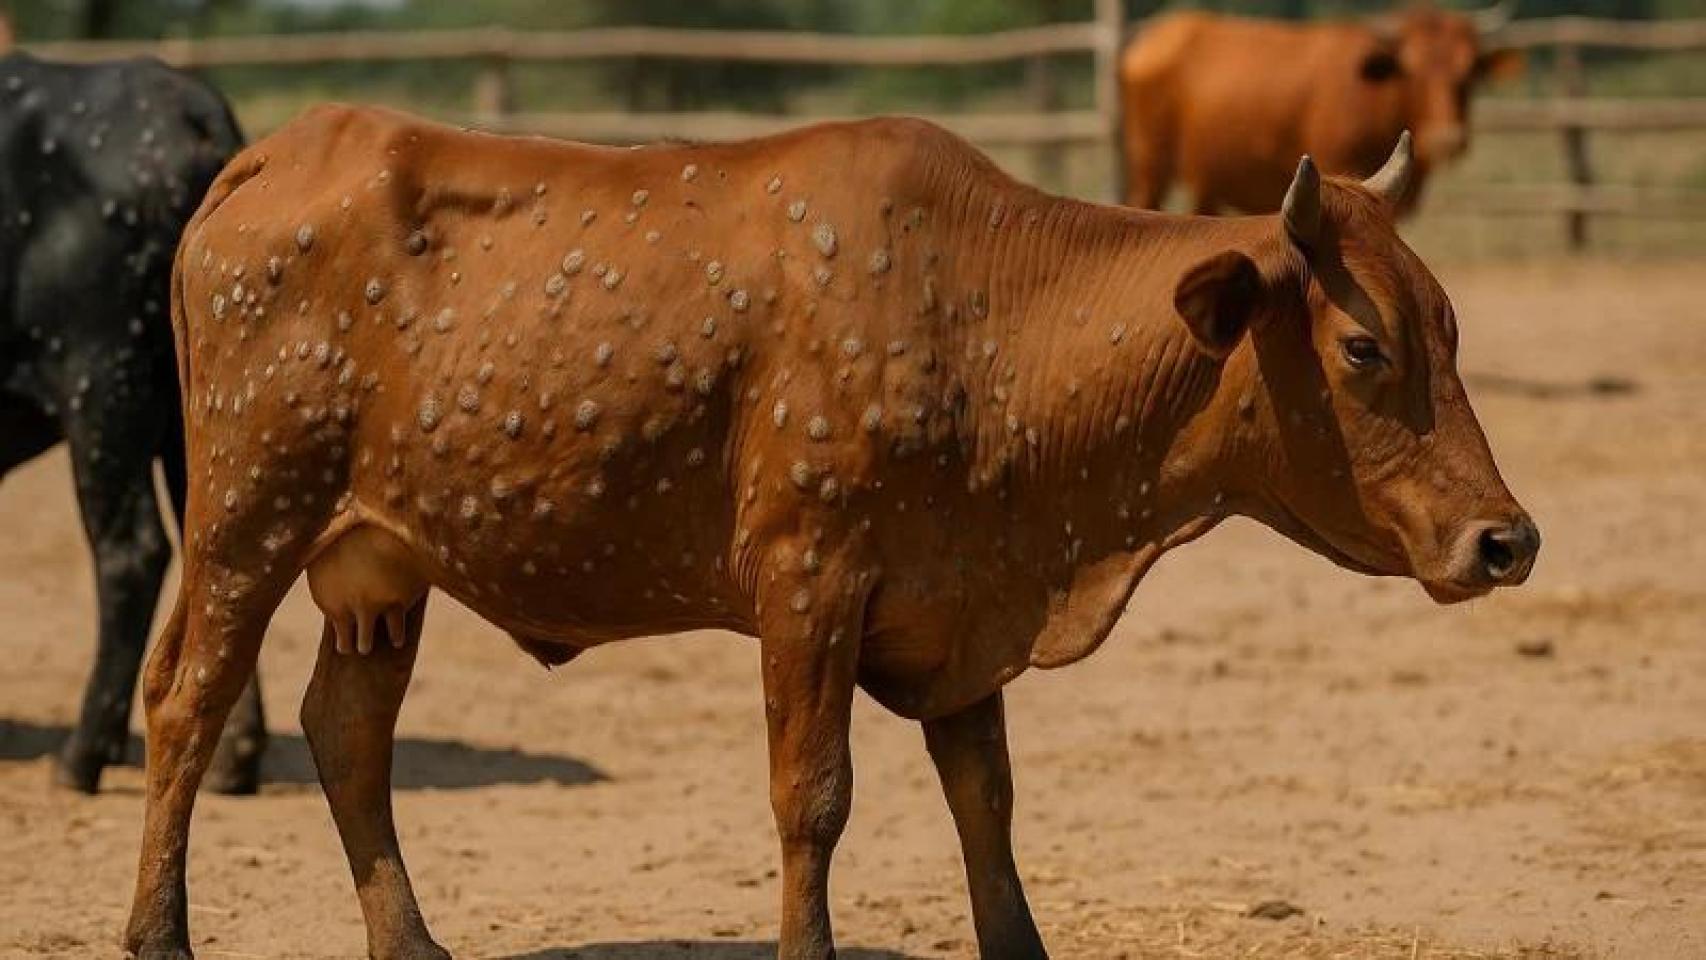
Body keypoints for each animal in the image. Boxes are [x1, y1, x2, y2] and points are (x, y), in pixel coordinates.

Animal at [123, 106, 1538, 960]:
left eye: (1451, 323)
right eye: (1362, 347)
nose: (1503, 541)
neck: (983, 319)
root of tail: (286, 148)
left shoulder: (961, 607)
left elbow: (986, 805)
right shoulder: (809, 582)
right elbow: (812, 799)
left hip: (383, 564)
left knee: (346, 731)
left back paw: (409, 942)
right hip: (247, 517)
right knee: (187, 704)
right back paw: (160, 932)